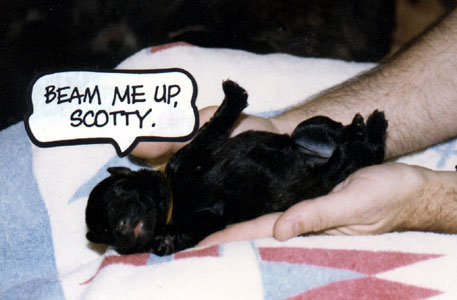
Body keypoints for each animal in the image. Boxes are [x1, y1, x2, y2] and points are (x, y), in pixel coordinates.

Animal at [84, 80, 384, 255]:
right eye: (107, 233)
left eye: (121, 190)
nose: (122, 228)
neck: (173, 205)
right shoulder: (197, 223)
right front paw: (163, 242)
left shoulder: (192, 155)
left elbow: (211, 127)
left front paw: (233, 95)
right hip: (324, 174)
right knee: (347, 161)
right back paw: (359, 138)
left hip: (307, 127)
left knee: (340, 136)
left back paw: (362, 127)